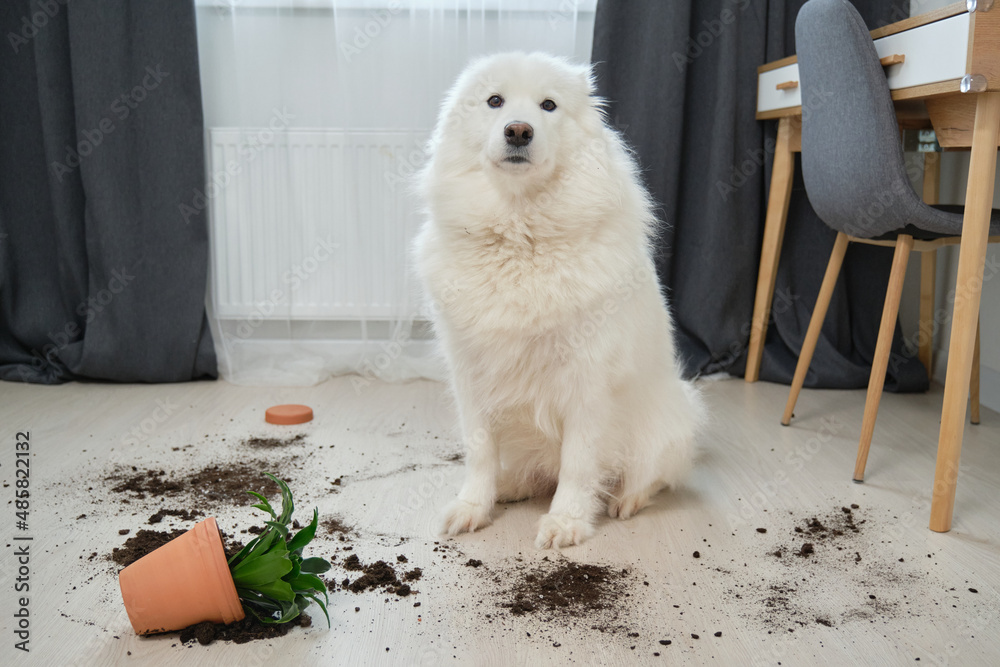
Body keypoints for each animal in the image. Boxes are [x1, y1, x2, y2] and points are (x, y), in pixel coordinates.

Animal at [412, 52, 704, 552]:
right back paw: (510, 488)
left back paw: (626, 500)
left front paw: (566, 521)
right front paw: (474, 507)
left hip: (673, 418)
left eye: (548, 105)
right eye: (494, 101)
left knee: (651, 477)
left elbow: (578, 463)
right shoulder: (470, 374)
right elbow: (480, 453)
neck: (520, 235)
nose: (518, 131)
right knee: (533, 473)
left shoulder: (587, 382)